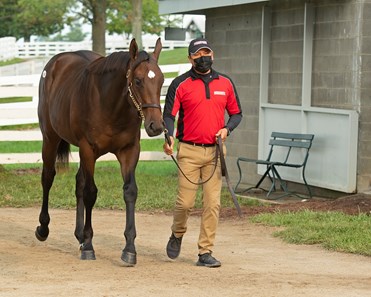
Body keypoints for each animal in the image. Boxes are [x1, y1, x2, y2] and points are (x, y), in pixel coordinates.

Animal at [35, 37, 166, 266]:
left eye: (161, 80)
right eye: (138, 80)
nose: (155, 126)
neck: (110, 104)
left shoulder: (129, 151)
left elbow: (130, 191)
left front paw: (129, 249)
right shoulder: (88, 149)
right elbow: (90, 192)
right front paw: (89, 246)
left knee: (78, 181)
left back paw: (79, 234)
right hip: (50, 138)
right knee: (48, 177)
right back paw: (44, 228)